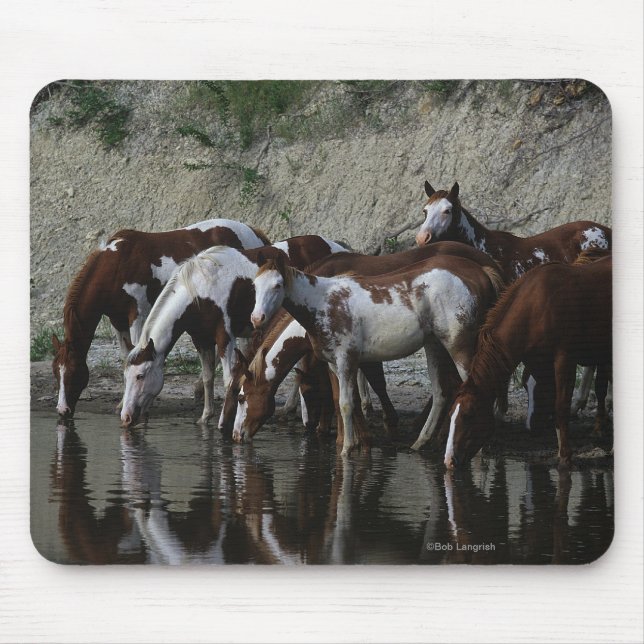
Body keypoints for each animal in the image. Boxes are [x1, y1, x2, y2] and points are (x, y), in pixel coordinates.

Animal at [52, 219, 270, 419]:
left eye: (73, 374)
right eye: (56, 372)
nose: (62, 410)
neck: (117, 264)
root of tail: (255, 233)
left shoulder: (137, 315)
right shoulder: (117, 321)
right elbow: (126, 357)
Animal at [120, 236, 348, 428]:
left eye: (140, 376)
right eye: (126, 377)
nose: (126, 417)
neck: (201, 290)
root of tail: (337, 247)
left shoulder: (225, 338)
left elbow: (229, 379)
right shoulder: (201, 340)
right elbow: (207, 377)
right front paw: (205, 416)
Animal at [228, 241, 503, 444]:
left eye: (241, 398)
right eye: (255, 285)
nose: (236, 435)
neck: (322, 301)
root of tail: (482, 270)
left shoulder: (348, 360)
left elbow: (351, 399)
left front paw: (354, 442)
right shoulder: (333, 362)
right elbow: (341, 399)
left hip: (459, 346)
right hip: (435, 345)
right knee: (442, 392)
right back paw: (423, 441)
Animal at [444, 255, 612, 469]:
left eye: (469, 415)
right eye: (450, 415)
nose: (449, 460)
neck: (538, 307)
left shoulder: (565, 360)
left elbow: (561, 407)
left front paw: (565, 457)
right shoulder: (538, 363)